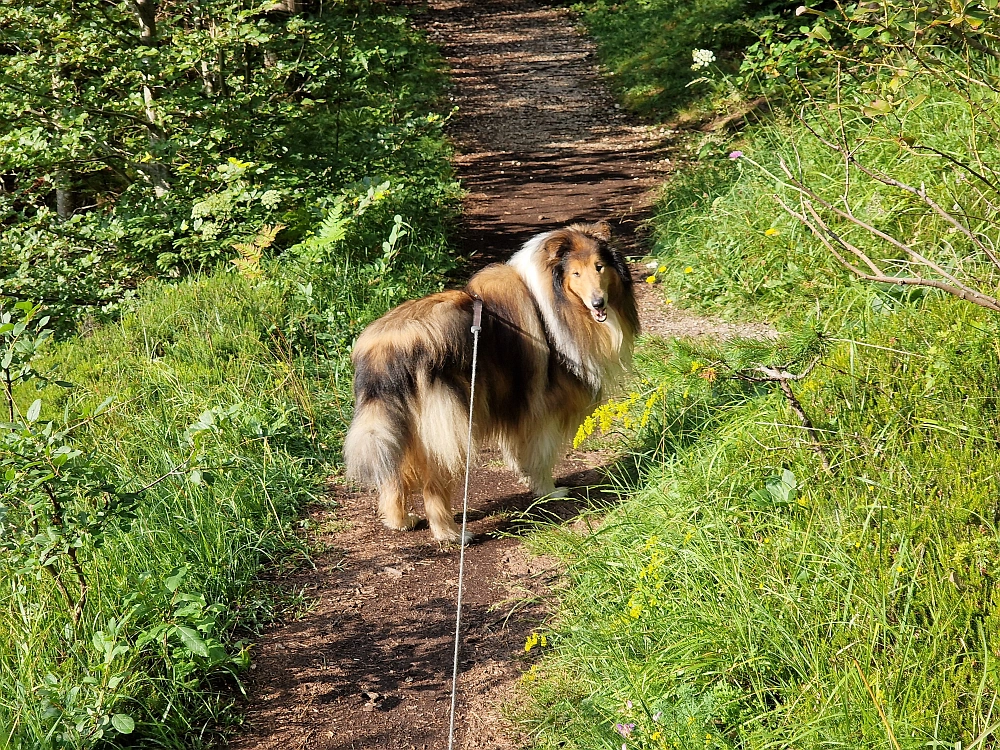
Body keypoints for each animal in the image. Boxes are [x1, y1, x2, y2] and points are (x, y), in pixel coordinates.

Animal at [344, 220, 640, 544]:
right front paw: (549, 492)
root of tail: (385, 350)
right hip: (449, 426)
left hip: (402, 426)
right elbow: (541, 456)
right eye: (575, 273)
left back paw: (401, 521)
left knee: (394, 474)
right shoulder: (543, 409)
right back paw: (451, 534)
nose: (599, 302)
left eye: (599, 267)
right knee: (434, 484)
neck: (555, 301)